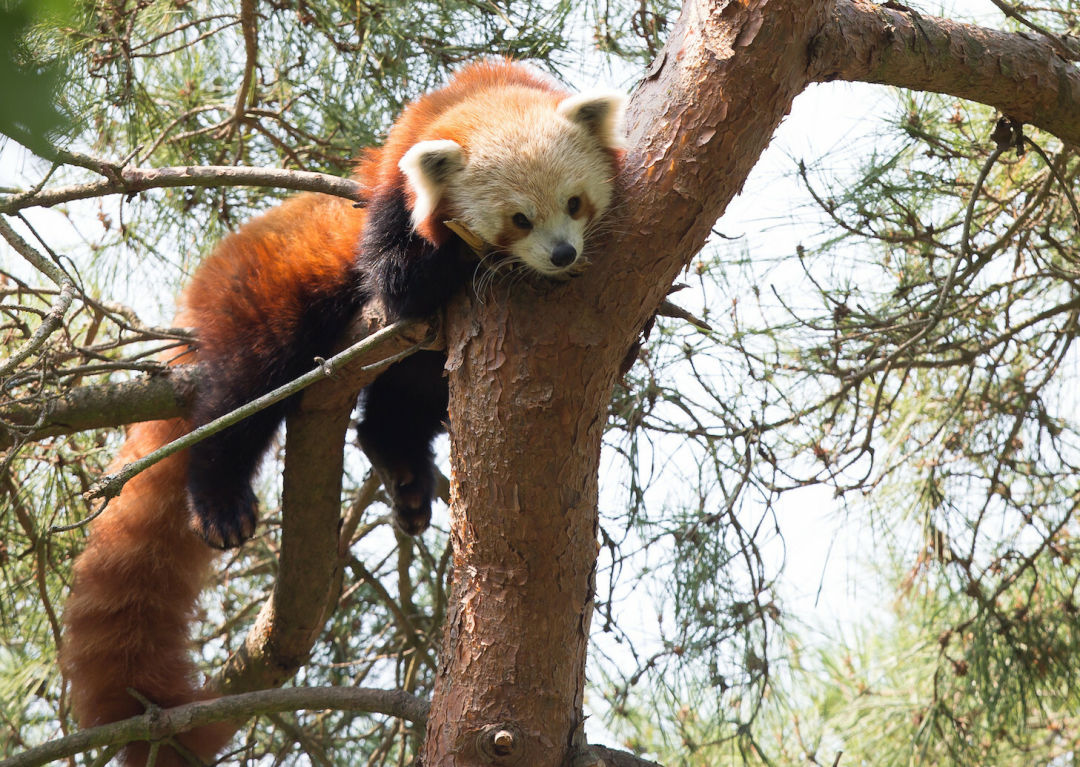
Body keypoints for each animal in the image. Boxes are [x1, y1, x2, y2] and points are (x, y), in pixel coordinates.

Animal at [59, 61, 630, 767]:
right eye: (518, 220)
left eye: (575, 203)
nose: (562, 256)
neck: (475, 95)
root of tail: (214, 268)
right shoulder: (393, 203)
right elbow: (399, 283)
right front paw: (461, 260)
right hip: (264, 305)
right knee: (239, 400)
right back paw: (220, 500)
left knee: (401, 401)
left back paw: (404, 473)